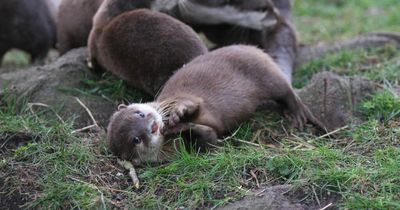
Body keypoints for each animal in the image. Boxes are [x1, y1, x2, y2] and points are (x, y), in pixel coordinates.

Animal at [107, 45, 324, 166]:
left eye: (140, 114)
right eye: (136, 140)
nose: (152, 126)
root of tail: (254, 48)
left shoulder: (182, 97)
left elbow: (191, 104)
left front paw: (178, 115)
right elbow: (210, 139)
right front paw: (183, 127)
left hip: (266, 74)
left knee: (286, 90)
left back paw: (297, 112)